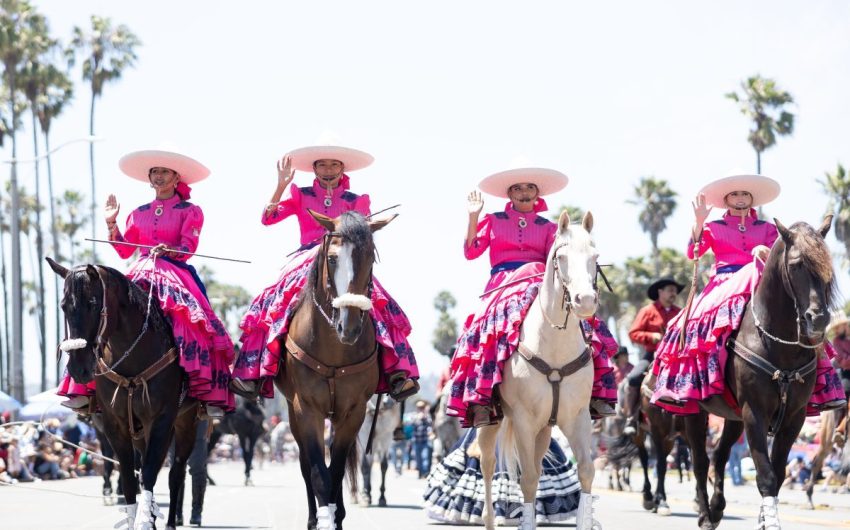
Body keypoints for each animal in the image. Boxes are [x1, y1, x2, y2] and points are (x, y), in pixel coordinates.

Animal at [49, 256, 200, 528]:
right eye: (64, 306)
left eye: (93, 303)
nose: (78, 368)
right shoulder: (114, 424)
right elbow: (129, 477)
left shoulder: (161, 420)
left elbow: (149, 474)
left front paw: (145, 520)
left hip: (186, 423)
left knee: (176, 471)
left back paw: (172, 520)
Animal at [276, 210, 396, 528]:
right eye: (331, 258)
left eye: (370, 258)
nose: (349, 326)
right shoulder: (306, 409)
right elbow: (318, 472)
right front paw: (323, 518)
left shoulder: (354, 411)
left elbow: (337, 470)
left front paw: (337, 516)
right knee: (306, 465)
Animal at [476, 210, 604, 528]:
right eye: (562, 257)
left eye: (594, 256)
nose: (585, 301)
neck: (554, 346)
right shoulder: (523, 420)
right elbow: (529, 480)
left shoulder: (578, 417)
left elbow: (586, 471)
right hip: (490, 422)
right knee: (488, 463)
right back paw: (488, 518)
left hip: (545, 429)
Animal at [676, 216, 836, 528]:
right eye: (797, 264)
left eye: (827, 266)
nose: (819, 318)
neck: (779, 344)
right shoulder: (755, 412)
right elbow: (766, 475)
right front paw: (770, 521)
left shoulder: (794, 417)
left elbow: (779, 473)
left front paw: (764, 517)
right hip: (695, 411)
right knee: (700, 460)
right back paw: (704, 514)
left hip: (733, 416)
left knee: (720, 455)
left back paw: (717, 507)